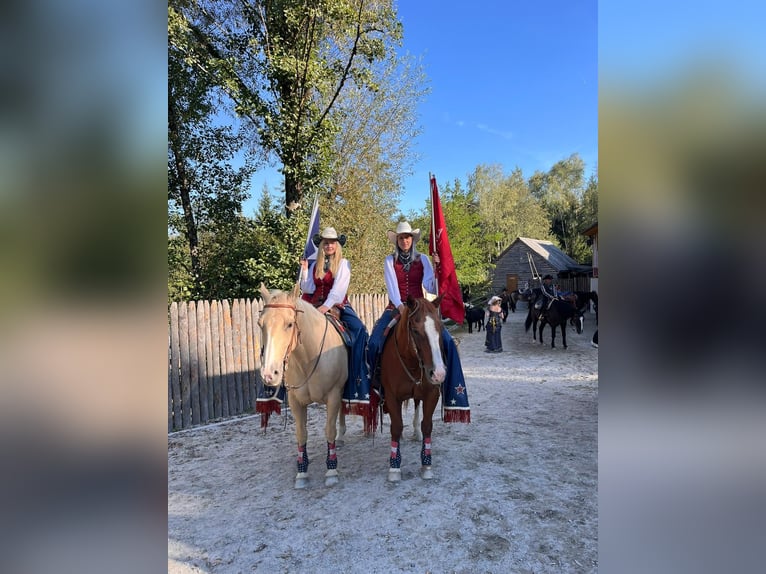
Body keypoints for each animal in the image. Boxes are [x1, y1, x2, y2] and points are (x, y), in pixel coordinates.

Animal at [258, 283, 348, 489]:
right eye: (260, 324)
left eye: (290, 324)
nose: (269, 374)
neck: (309, 359)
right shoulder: (295, 401)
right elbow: (301, 434)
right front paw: (302, 472)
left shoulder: (333, 395)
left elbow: (329, 430)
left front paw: (332, 470)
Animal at [381, 295, 446, 482]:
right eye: (416, 331)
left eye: (440, 328)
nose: (438, 373)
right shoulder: (391, 397)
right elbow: (396, 427)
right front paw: (394, 467)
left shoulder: (432, 394)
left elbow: (427, 425)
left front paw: (426, 464)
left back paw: (416, 432)